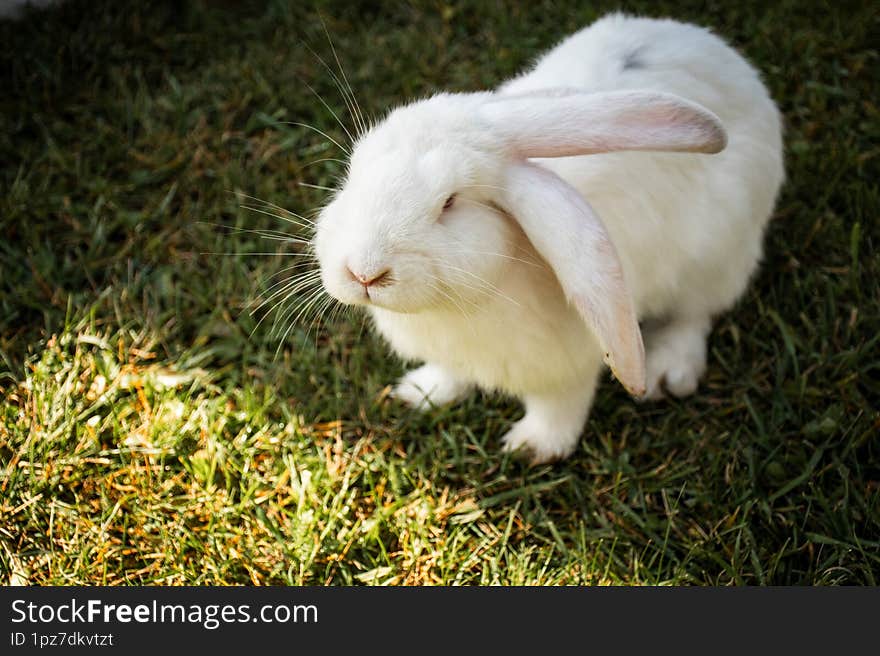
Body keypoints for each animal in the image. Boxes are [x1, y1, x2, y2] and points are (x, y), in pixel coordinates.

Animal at [310, 12, 784, 464]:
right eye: (352, 175)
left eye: (450, 203)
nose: (364, 272)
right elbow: (450, 373)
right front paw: (422, 393)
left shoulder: (567, 365)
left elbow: (560, 405)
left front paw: (534, 448)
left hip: (717, 257)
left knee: (696, 315)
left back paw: (668, 372)